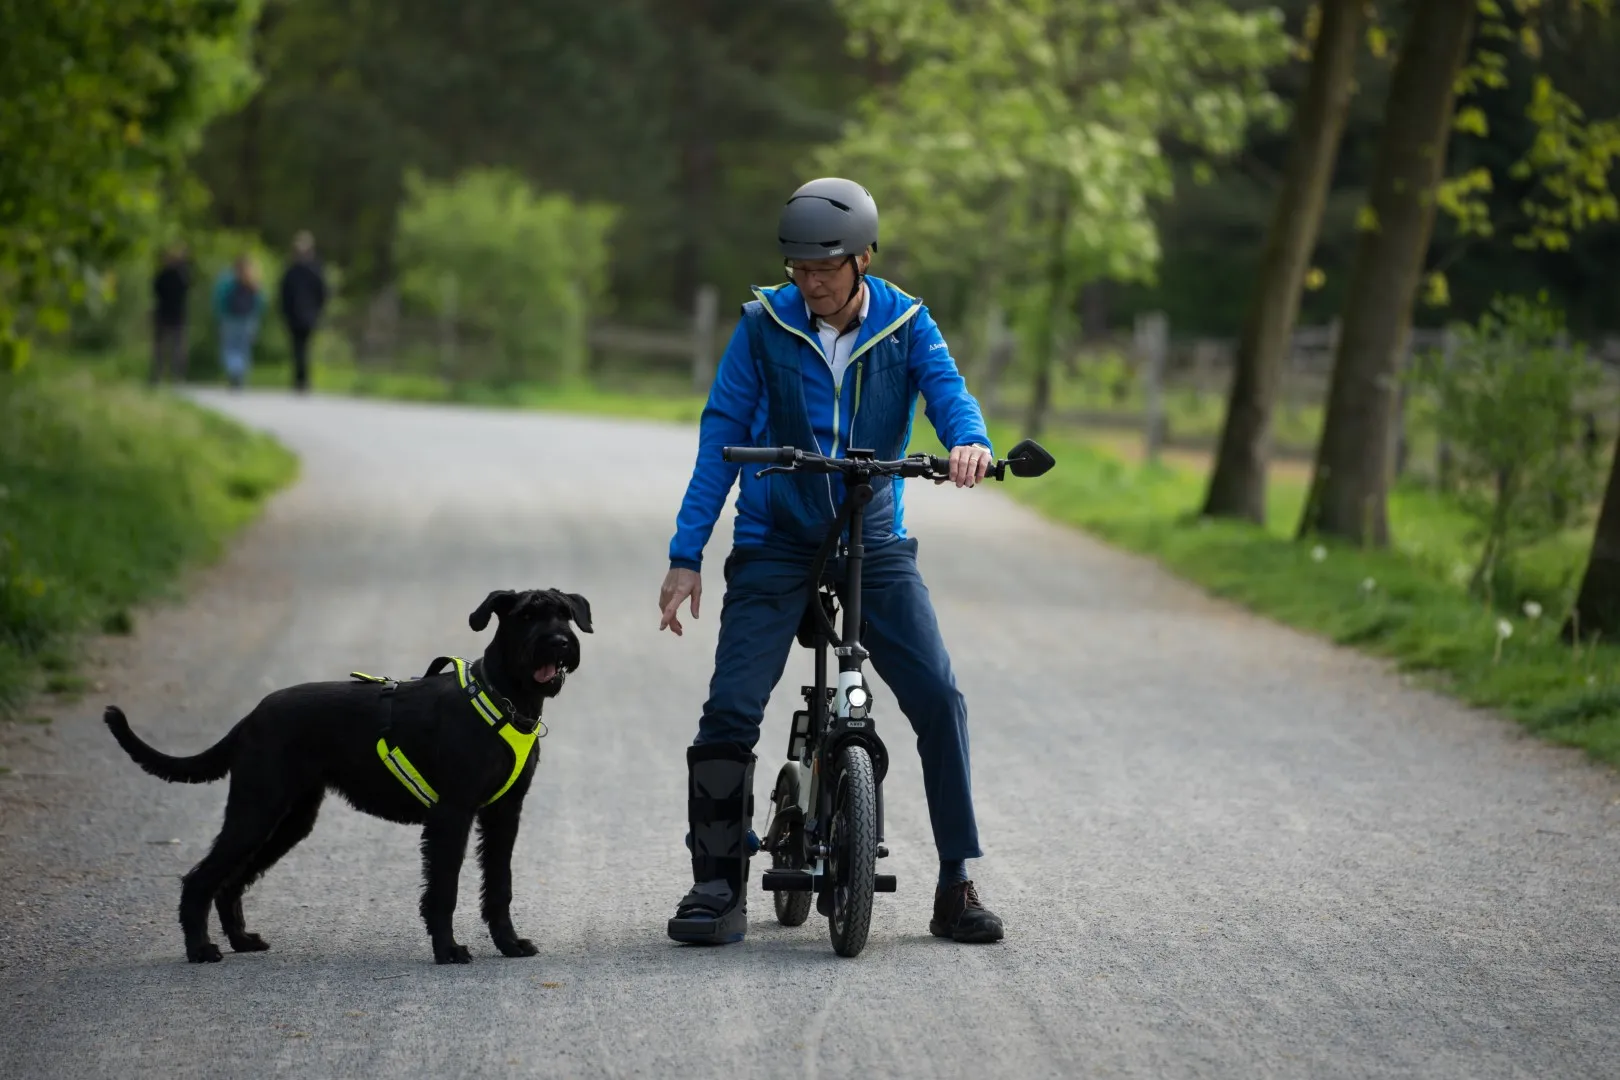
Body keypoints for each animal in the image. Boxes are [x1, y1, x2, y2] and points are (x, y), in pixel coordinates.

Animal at [104, 586, 592, 965]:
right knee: (201, 879)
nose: (559, 643)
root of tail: (251, 718)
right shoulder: (452, 815)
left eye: (564, 614)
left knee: (230, 882)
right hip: (256, 811)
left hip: (288, 820)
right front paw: (448, 950)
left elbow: (500, 885)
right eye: (525, 616)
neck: (503, 698)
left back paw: (242, 941)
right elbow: (444, 888)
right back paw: (200, 949)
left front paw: (509, 944)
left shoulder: (503, 815)